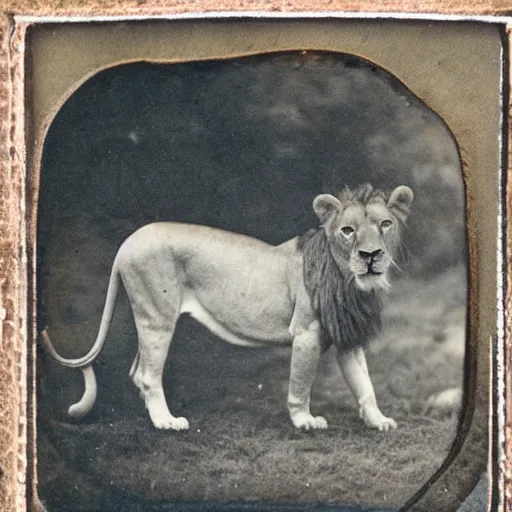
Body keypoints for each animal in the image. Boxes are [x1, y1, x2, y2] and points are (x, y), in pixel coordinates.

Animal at [42, 184, 414, 432]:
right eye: (348, 230)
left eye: (385, 224)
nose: (370, 255)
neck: (349, 282)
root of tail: (128, 242)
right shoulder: (306, 334)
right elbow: (300, 383)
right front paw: (304, 420)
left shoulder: (346, 335)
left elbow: (364, 383)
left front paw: (379, 420)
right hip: (158, 316)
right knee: (148, 374)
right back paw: (166, 421)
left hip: (150, 316)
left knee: (138, 371)